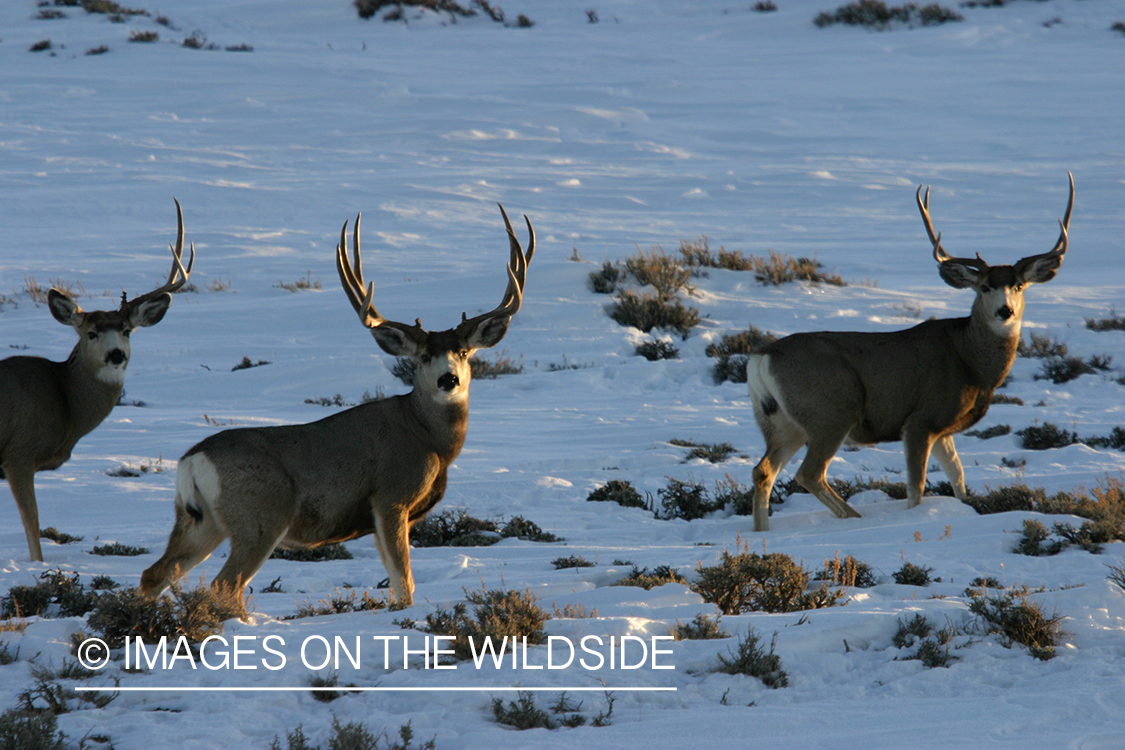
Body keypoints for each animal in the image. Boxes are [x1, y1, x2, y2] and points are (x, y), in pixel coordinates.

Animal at [1, 199, 194, 561]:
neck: (65, 404)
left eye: (126, 330)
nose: (116, 354)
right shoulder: (19, 452)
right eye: (91, 333)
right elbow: (32, 522)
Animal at [140, 205, 534, 612]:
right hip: (260, 516)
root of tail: (192, 460)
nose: (448, 379)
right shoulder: (391, 497)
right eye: (424, 356)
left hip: (202, 521)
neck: (428, 439)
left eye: (464, 352)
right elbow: (404, 583)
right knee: (225, 584)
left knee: (156, 573)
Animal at [746, 174, 1073, 532]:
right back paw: (853, 518)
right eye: (985, 287)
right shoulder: (921, 420)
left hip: (780, 421)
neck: (972, 363)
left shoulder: (943, 428)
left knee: (763, 471)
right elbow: (916, 488)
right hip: (831, 411)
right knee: (809, 473)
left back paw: (763, 532)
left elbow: (958, 478)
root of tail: (762, 357)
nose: (1005, 311)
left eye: (1019, 285)